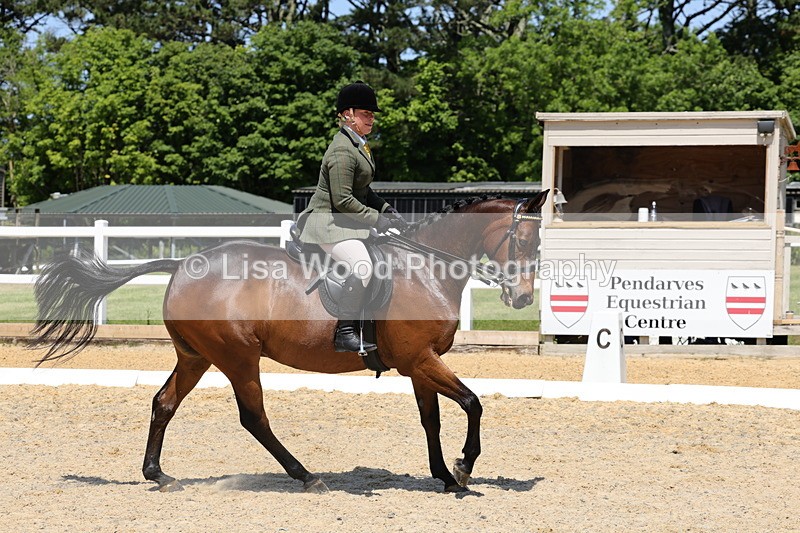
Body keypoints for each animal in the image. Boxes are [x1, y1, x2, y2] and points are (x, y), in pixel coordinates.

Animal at [29, 192, 548, 494]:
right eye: (525, 243)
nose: (523, 298)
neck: (427, 268)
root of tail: (183, 264)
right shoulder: (420, 359)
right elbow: (473, 403)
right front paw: (464, 469)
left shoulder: (421, 362)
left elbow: (432, 419)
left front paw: (443, 475)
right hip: (238, 357)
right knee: (253, 417)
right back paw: (306, 475)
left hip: (197, 357)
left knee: (164, 402)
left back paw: (158, 474)